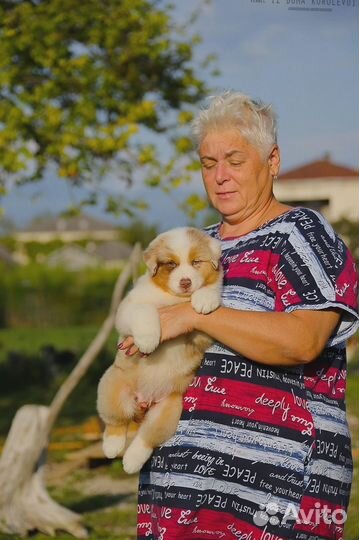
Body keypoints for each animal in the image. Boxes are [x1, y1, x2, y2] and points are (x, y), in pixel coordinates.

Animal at [95, 227, 222, 472]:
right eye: (170, 265)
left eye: (196, 262)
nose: (185, 282)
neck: (174, 298)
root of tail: (144, 399)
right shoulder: (127, 309)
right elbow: (145, 309)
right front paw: (148, 340)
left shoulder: (201, 337)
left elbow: (208, 295)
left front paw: (205, 299)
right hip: (111, 387)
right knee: (116, 422)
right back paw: (112, 447)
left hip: (170, 411)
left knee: (147, 437)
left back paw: (131, 462)